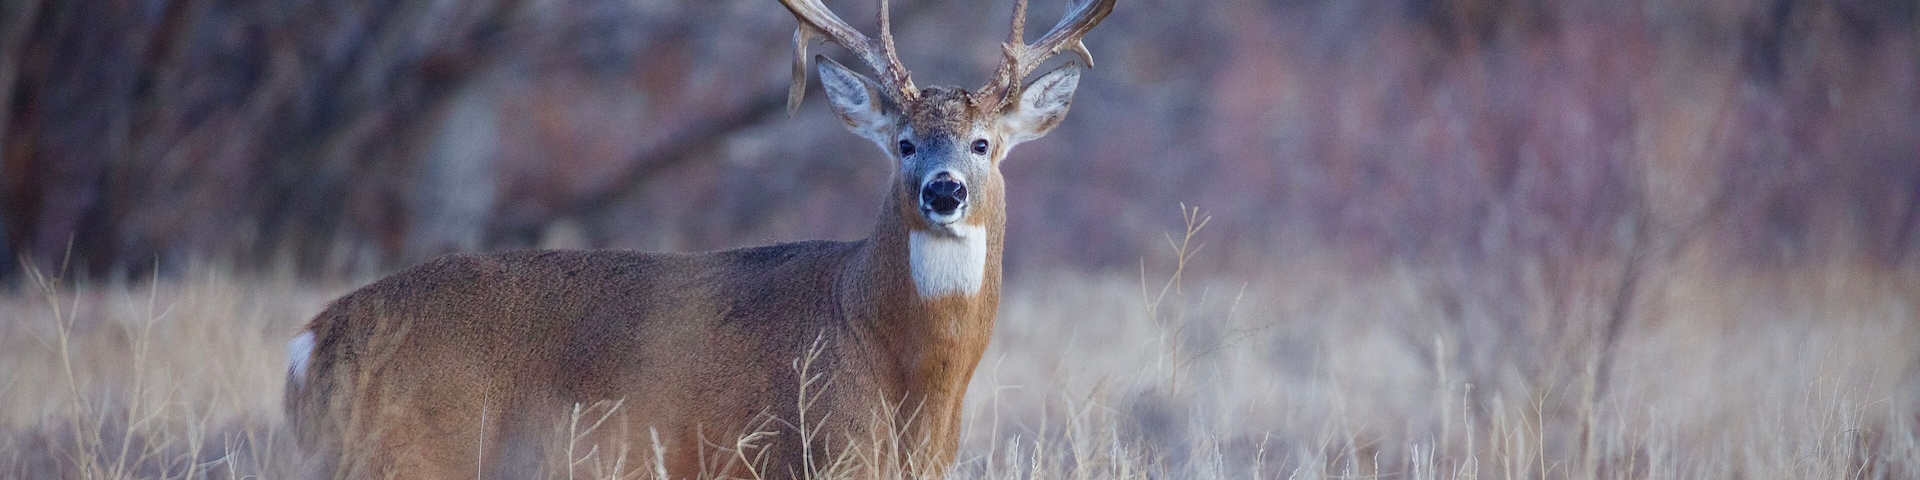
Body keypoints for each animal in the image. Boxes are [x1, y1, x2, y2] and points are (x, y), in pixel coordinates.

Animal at [283, 0, 1114, 478]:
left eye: (983, 143)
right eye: (904, 144)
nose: (943, 190)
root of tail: (312, 341)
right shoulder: (808, 453)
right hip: (399, 455)